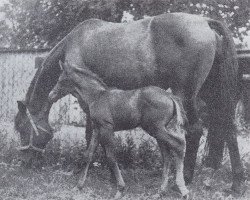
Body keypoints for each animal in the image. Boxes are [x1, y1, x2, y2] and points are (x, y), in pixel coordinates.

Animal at [48, 61, 188, 198]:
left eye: (61, 80)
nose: (51, 95)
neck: (97, 96)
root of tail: (169, 96)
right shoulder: (97, 129)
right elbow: (88, 155)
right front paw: (78, 186)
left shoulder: (107, 128)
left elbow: (111, 157)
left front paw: (120, 190)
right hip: (157, 130)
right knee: (167, 155)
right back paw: (160, 191)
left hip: (156, 128)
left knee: (179, 144)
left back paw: (183, 190)